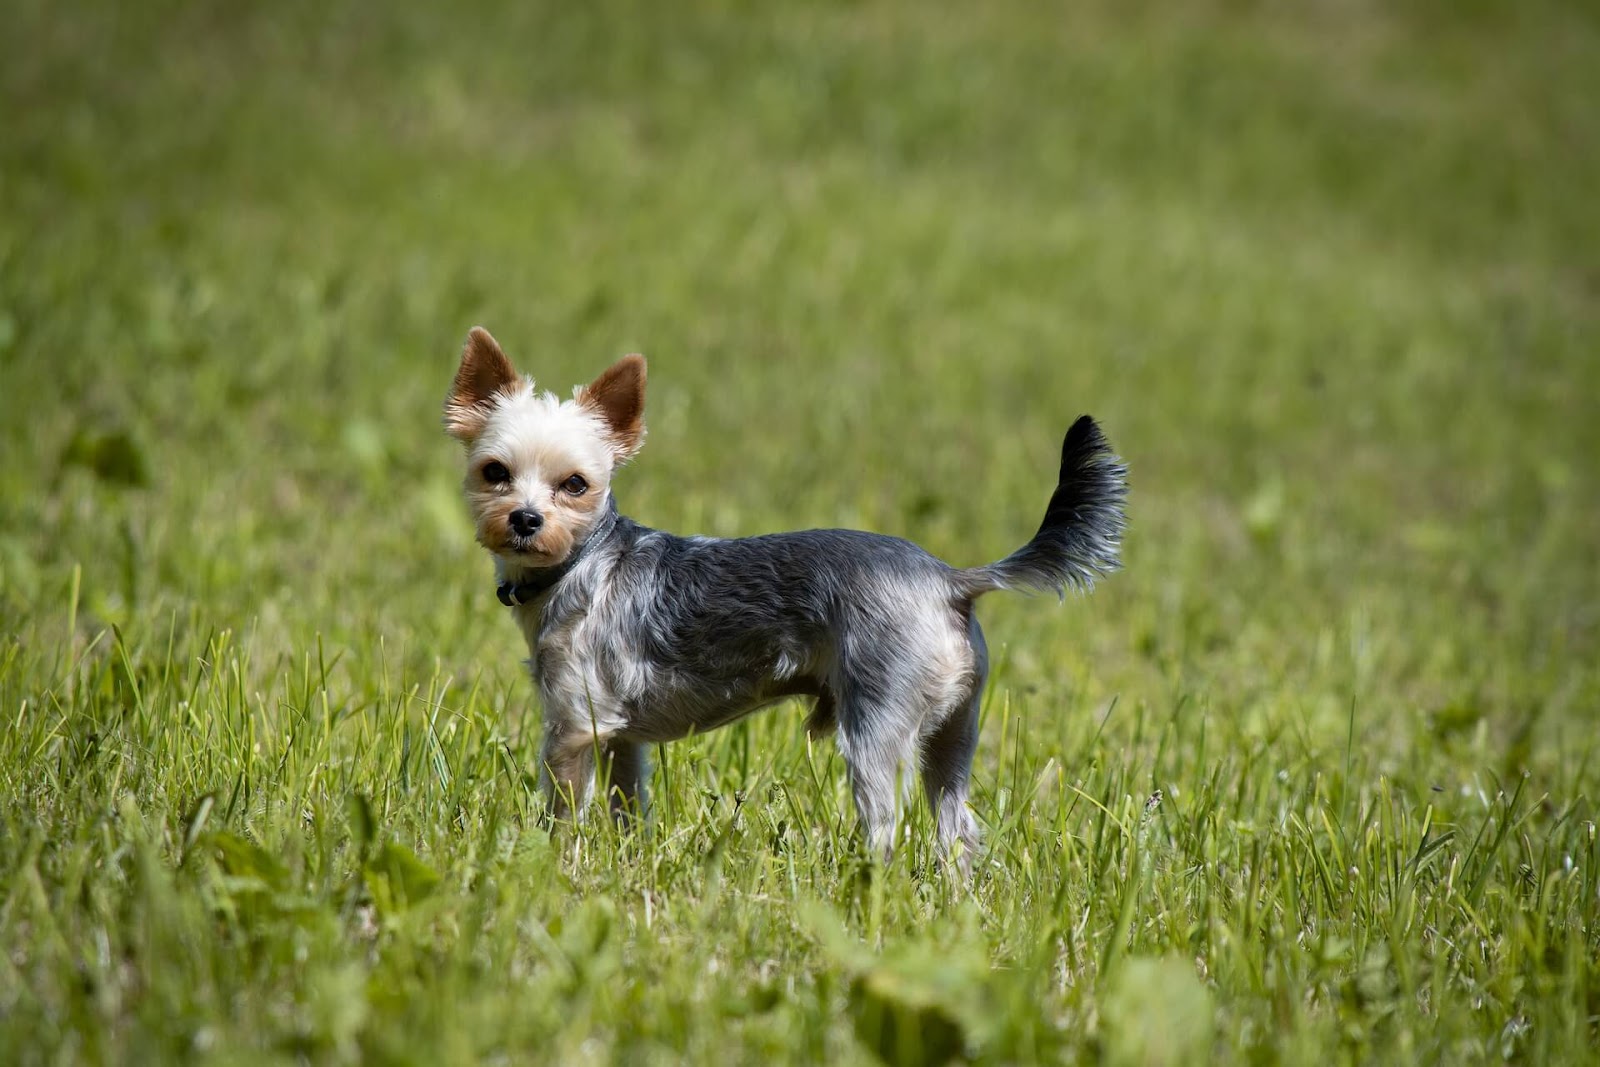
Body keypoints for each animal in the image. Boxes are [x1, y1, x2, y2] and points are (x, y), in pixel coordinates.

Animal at [444, 329, 1132, 863]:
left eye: (575, 485)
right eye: (495, 473)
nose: (525, 519)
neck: (580, 562)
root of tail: (948, 580)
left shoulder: (572, 727)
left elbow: (564, 813)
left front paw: (555, 866)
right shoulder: (620, 737)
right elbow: (628, 805)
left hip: (875, 724)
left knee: (887, 827)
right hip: (954, 730)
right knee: (956, 827)